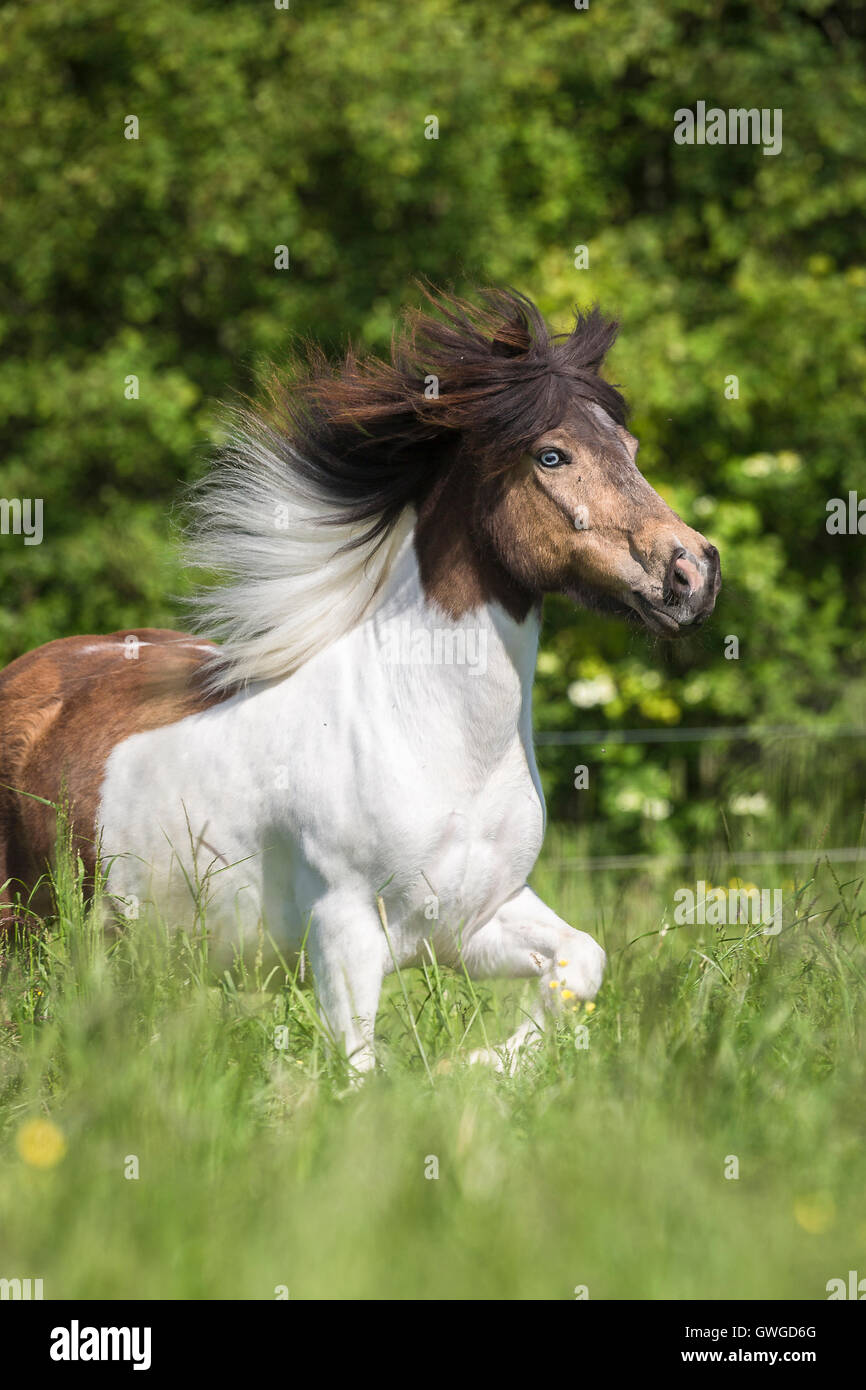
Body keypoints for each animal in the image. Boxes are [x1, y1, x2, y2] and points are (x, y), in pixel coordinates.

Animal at [0, 287, 717, 1073]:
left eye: (632, 451)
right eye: (551, 455)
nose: (693, 573)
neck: (433, 737)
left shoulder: (474, 921)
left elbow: (582, 961)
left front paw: (473, 1070)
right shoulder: (344, 932)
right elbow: (360, 1074)